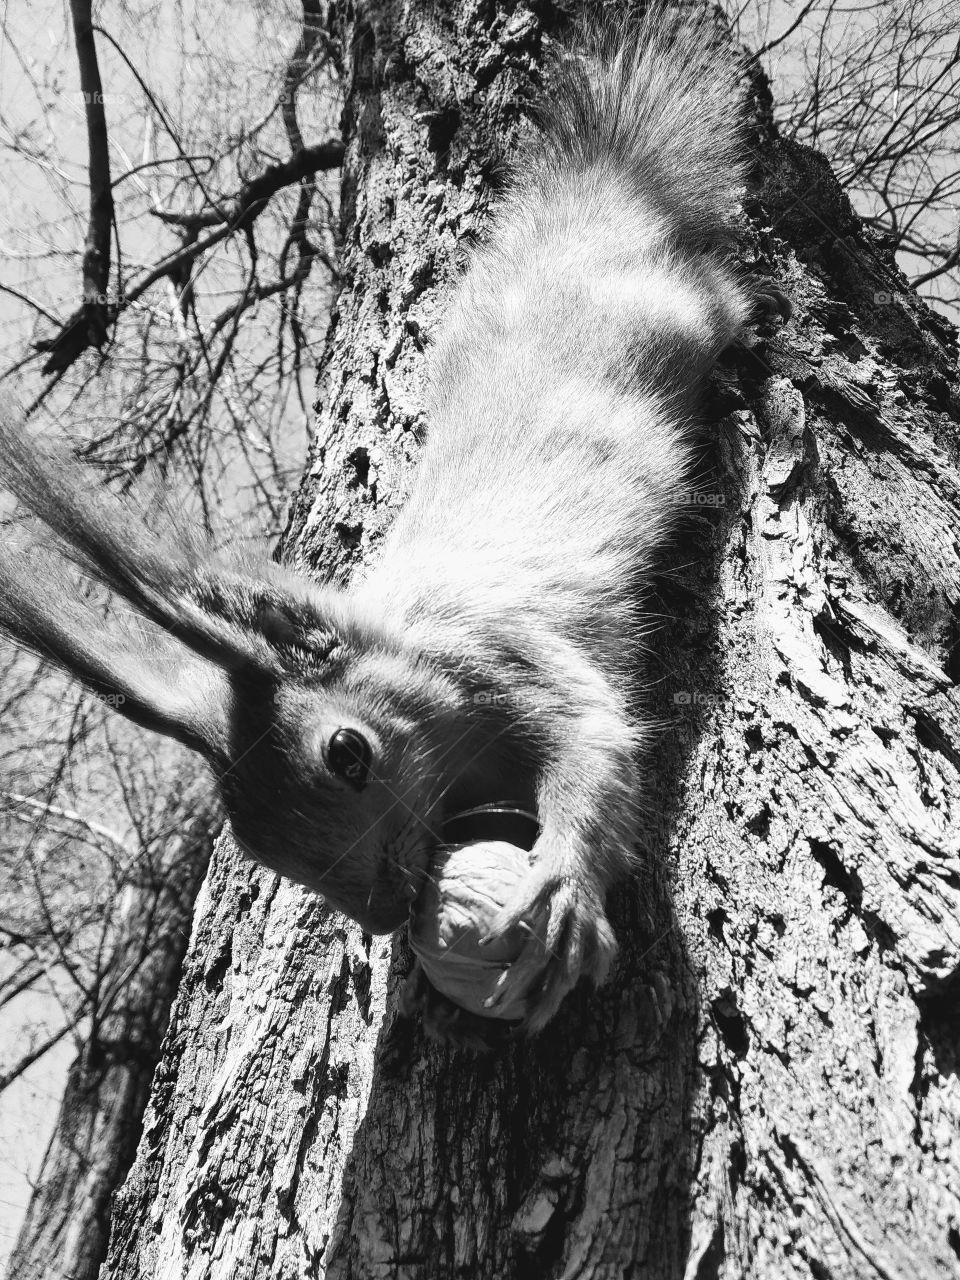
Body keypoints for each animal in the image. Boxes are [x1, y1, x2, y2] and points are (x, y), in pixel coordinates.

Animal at [0, 10, 784, 1040]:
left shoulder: (513, 658)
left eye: (348, 754)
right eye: (249, 835)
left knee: (721, 299)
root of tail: (603, 212)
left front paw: (566, 892)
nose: (378, 914)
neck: (414, 650)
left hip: (678, 319)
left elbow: (597, 743)